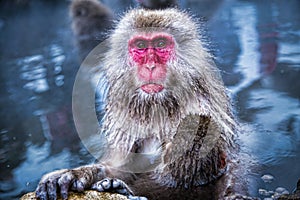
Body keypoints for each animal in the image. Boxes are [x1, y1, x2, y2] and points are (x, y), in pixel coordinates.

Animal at [35, 7, 238, 200]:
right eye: (140, 45)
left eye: (161, 44)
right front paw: (74, 175)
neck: (159, 108)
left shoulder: (202, 109)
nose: (150, 66)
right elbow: (120, 166)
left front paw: (121, 189)